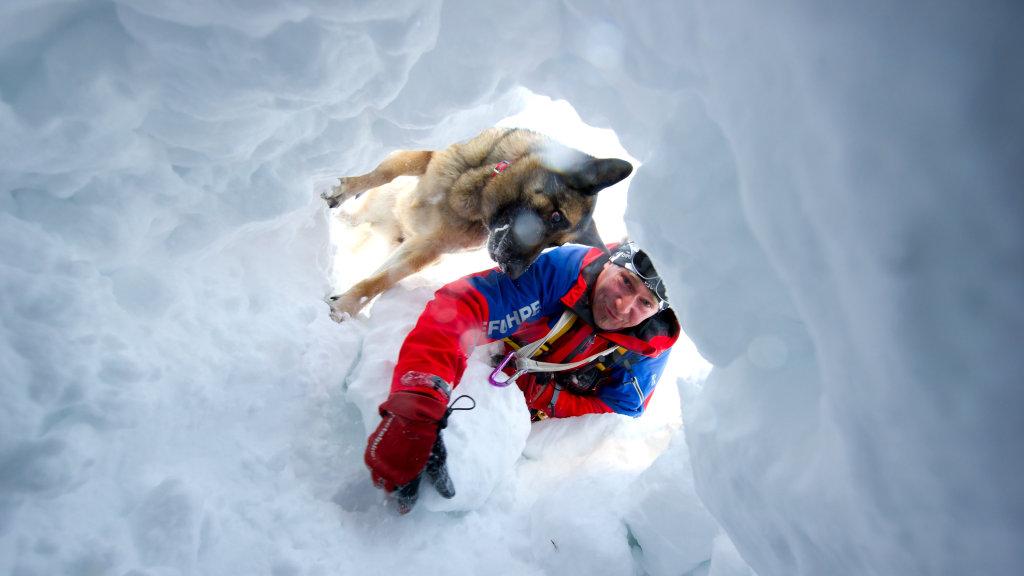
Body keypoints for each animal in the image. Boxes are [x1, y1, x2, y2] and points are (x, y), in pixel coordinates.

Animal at [321, 127, 633, 322]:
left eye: (555, 245)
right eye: (556, 216)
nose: (513, 274)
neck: (479, 189)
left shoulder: (428, 249)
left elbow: (380, 280)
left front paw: (346, 306)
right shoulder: (427, 156)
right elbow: (383, 173)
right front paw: (344, 190)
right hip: (383, 208)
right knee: (361, 215)